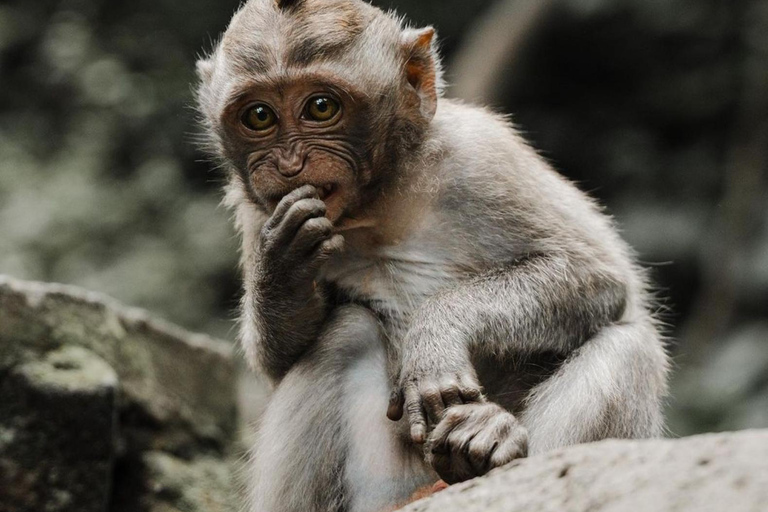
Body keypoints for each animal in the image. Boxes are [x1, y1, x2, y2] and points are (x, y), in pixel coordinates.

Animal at [195, 0, 668, 510]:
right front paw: (283, 266)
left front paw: (436, 335)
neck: (379, 204)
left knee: (630, 345)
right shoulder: (257, 212)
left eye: (321, 107)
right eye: (260, 116)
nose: (288, 165)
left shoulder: (482, 156)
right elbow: (276, 362)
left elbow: (597, 277)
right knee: (346, 333)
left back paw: (489, 444)